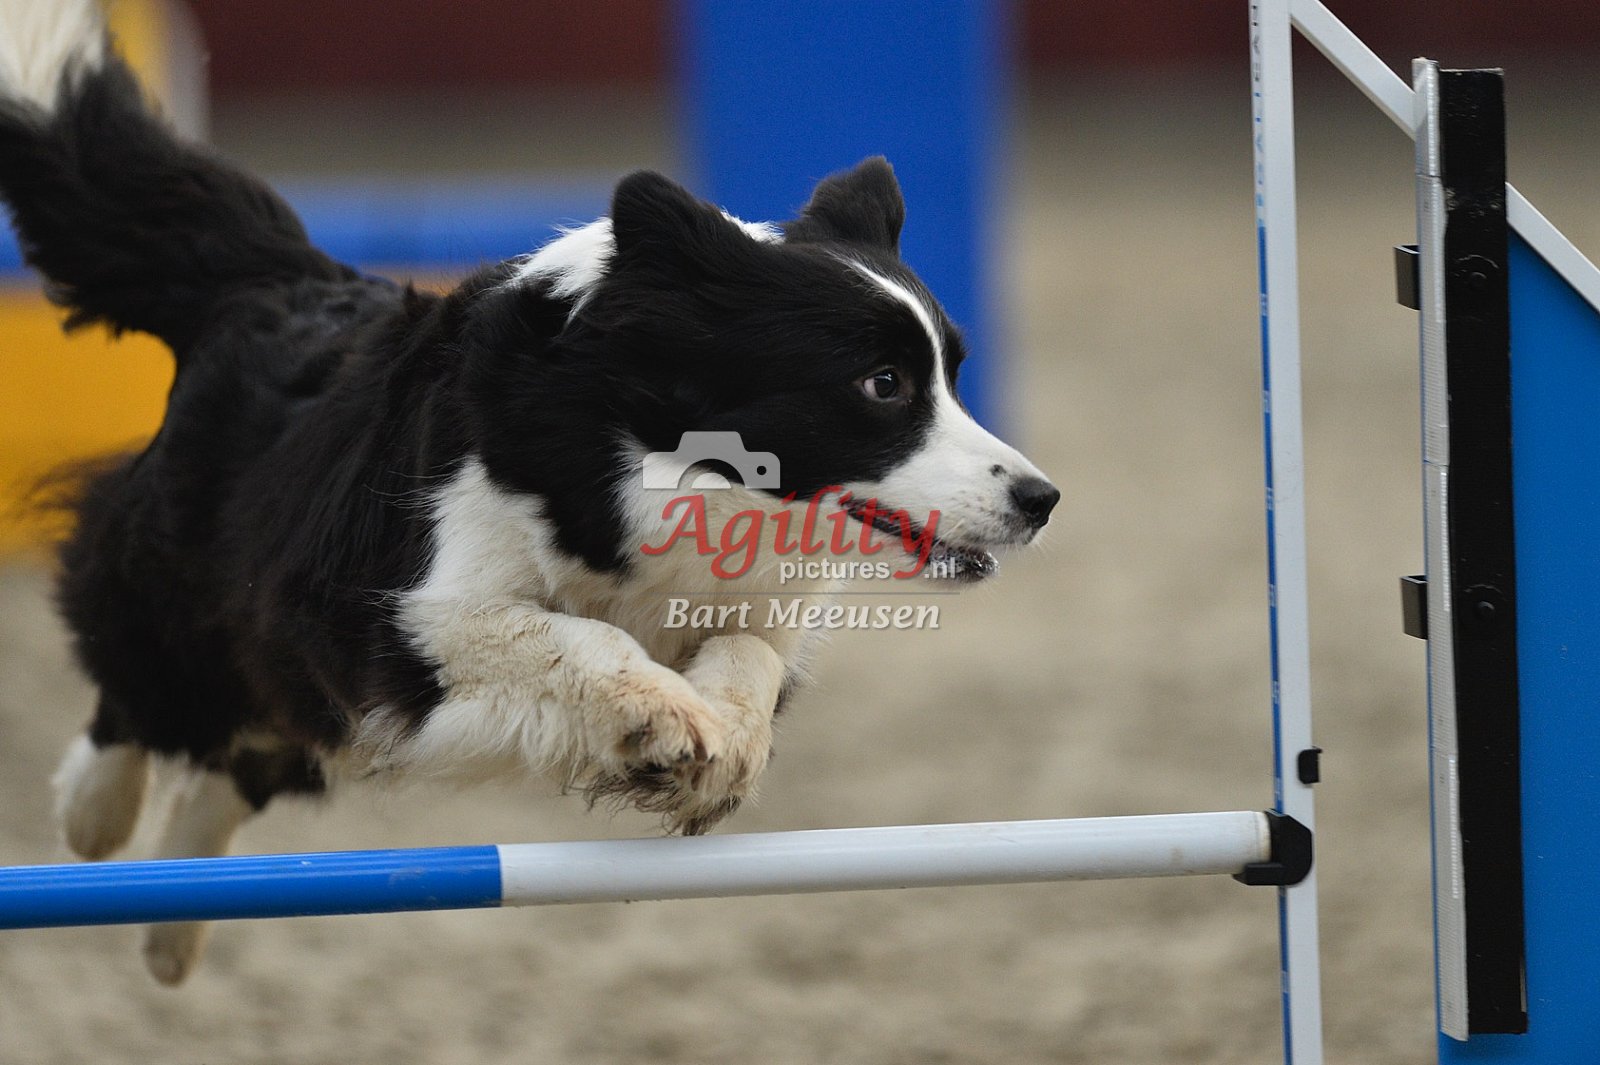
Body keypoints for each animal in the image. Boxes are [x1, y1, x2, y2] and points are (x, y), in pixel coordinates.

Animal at [0, 0, 1058, 983]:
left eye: (953, 373)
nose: (1043, 499)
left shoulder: (755, 607)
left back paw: (174, 928)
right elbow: (570, 634)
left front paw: (718, 748)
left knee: (250, 752)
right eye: (883, 384)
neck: (669, 466)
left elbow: (747, 656)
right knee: (143, 687)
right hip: (203, 593)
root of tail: (278, 280)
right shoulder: (419, 614)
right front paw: (665, 718)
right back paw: (93, 820)